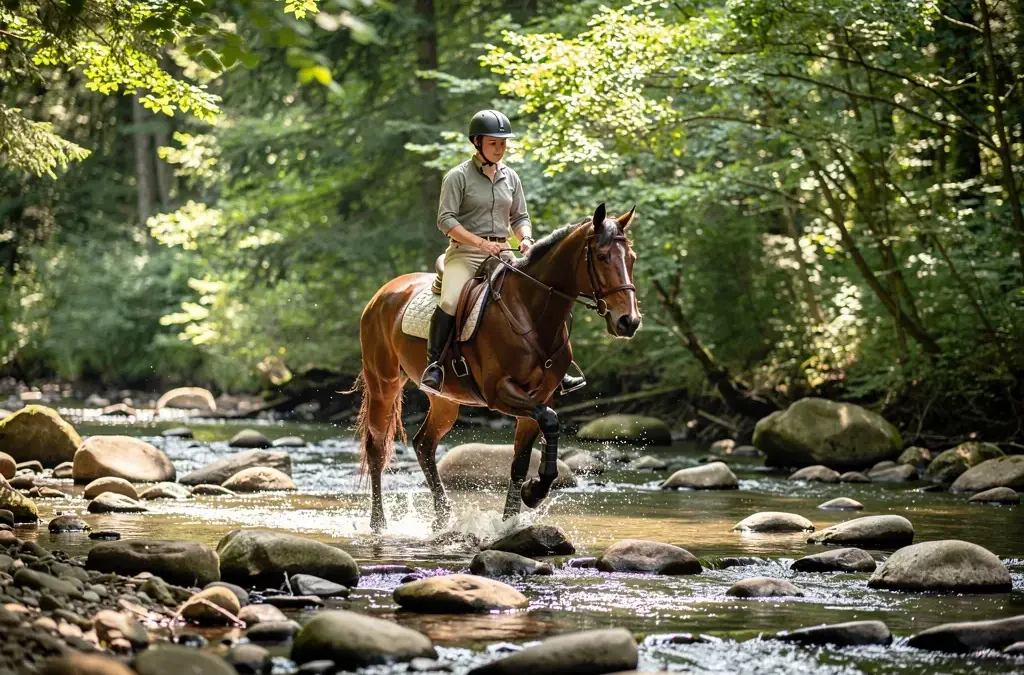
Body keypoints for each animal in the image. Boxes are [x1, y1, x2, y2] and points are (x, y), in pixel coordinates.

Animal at [353, 203, 641, 532]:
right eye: (603, 256)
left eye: (631, 259)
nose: (629, 322)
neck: (530, 312)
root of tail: (384, 292)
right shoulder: (500, 393)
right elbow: (550, 421)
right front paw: (534, 493)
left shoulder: (539, 398)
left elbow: (521, 460)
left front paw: (513, 518)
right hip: (383, 384)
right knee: (376, 447)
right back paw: (379, 523)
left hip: (445, 399)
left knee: (424, 445)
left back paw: (443, 518)